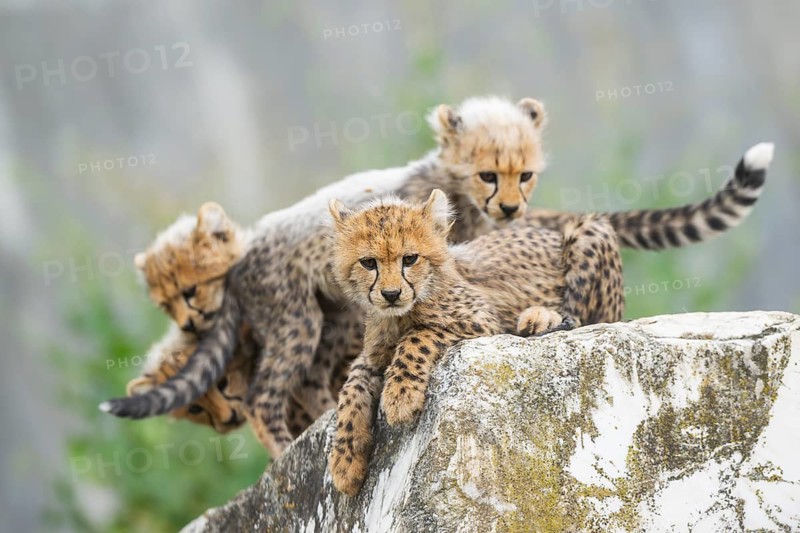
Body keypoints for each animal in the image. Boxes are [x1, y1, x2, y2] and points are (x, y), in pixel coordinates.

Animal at [101, 95, 772, 460]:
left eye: (525, 174)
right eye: (487, 173)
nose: (511, 208)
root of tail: (244, 255)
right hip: (298, 317)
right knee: (273, 393)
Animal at [326, 189, 624, 495]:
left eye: (410, 259)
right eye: (368, 263)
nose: (391, 294)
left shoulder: (482, 322)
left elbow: (417, 336)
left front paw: (400, 396)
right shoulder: (371, 357)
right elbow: (351, 388)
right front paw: (345, 462)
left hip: (589, 231)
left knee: (579, 317)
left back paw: (541, 318)